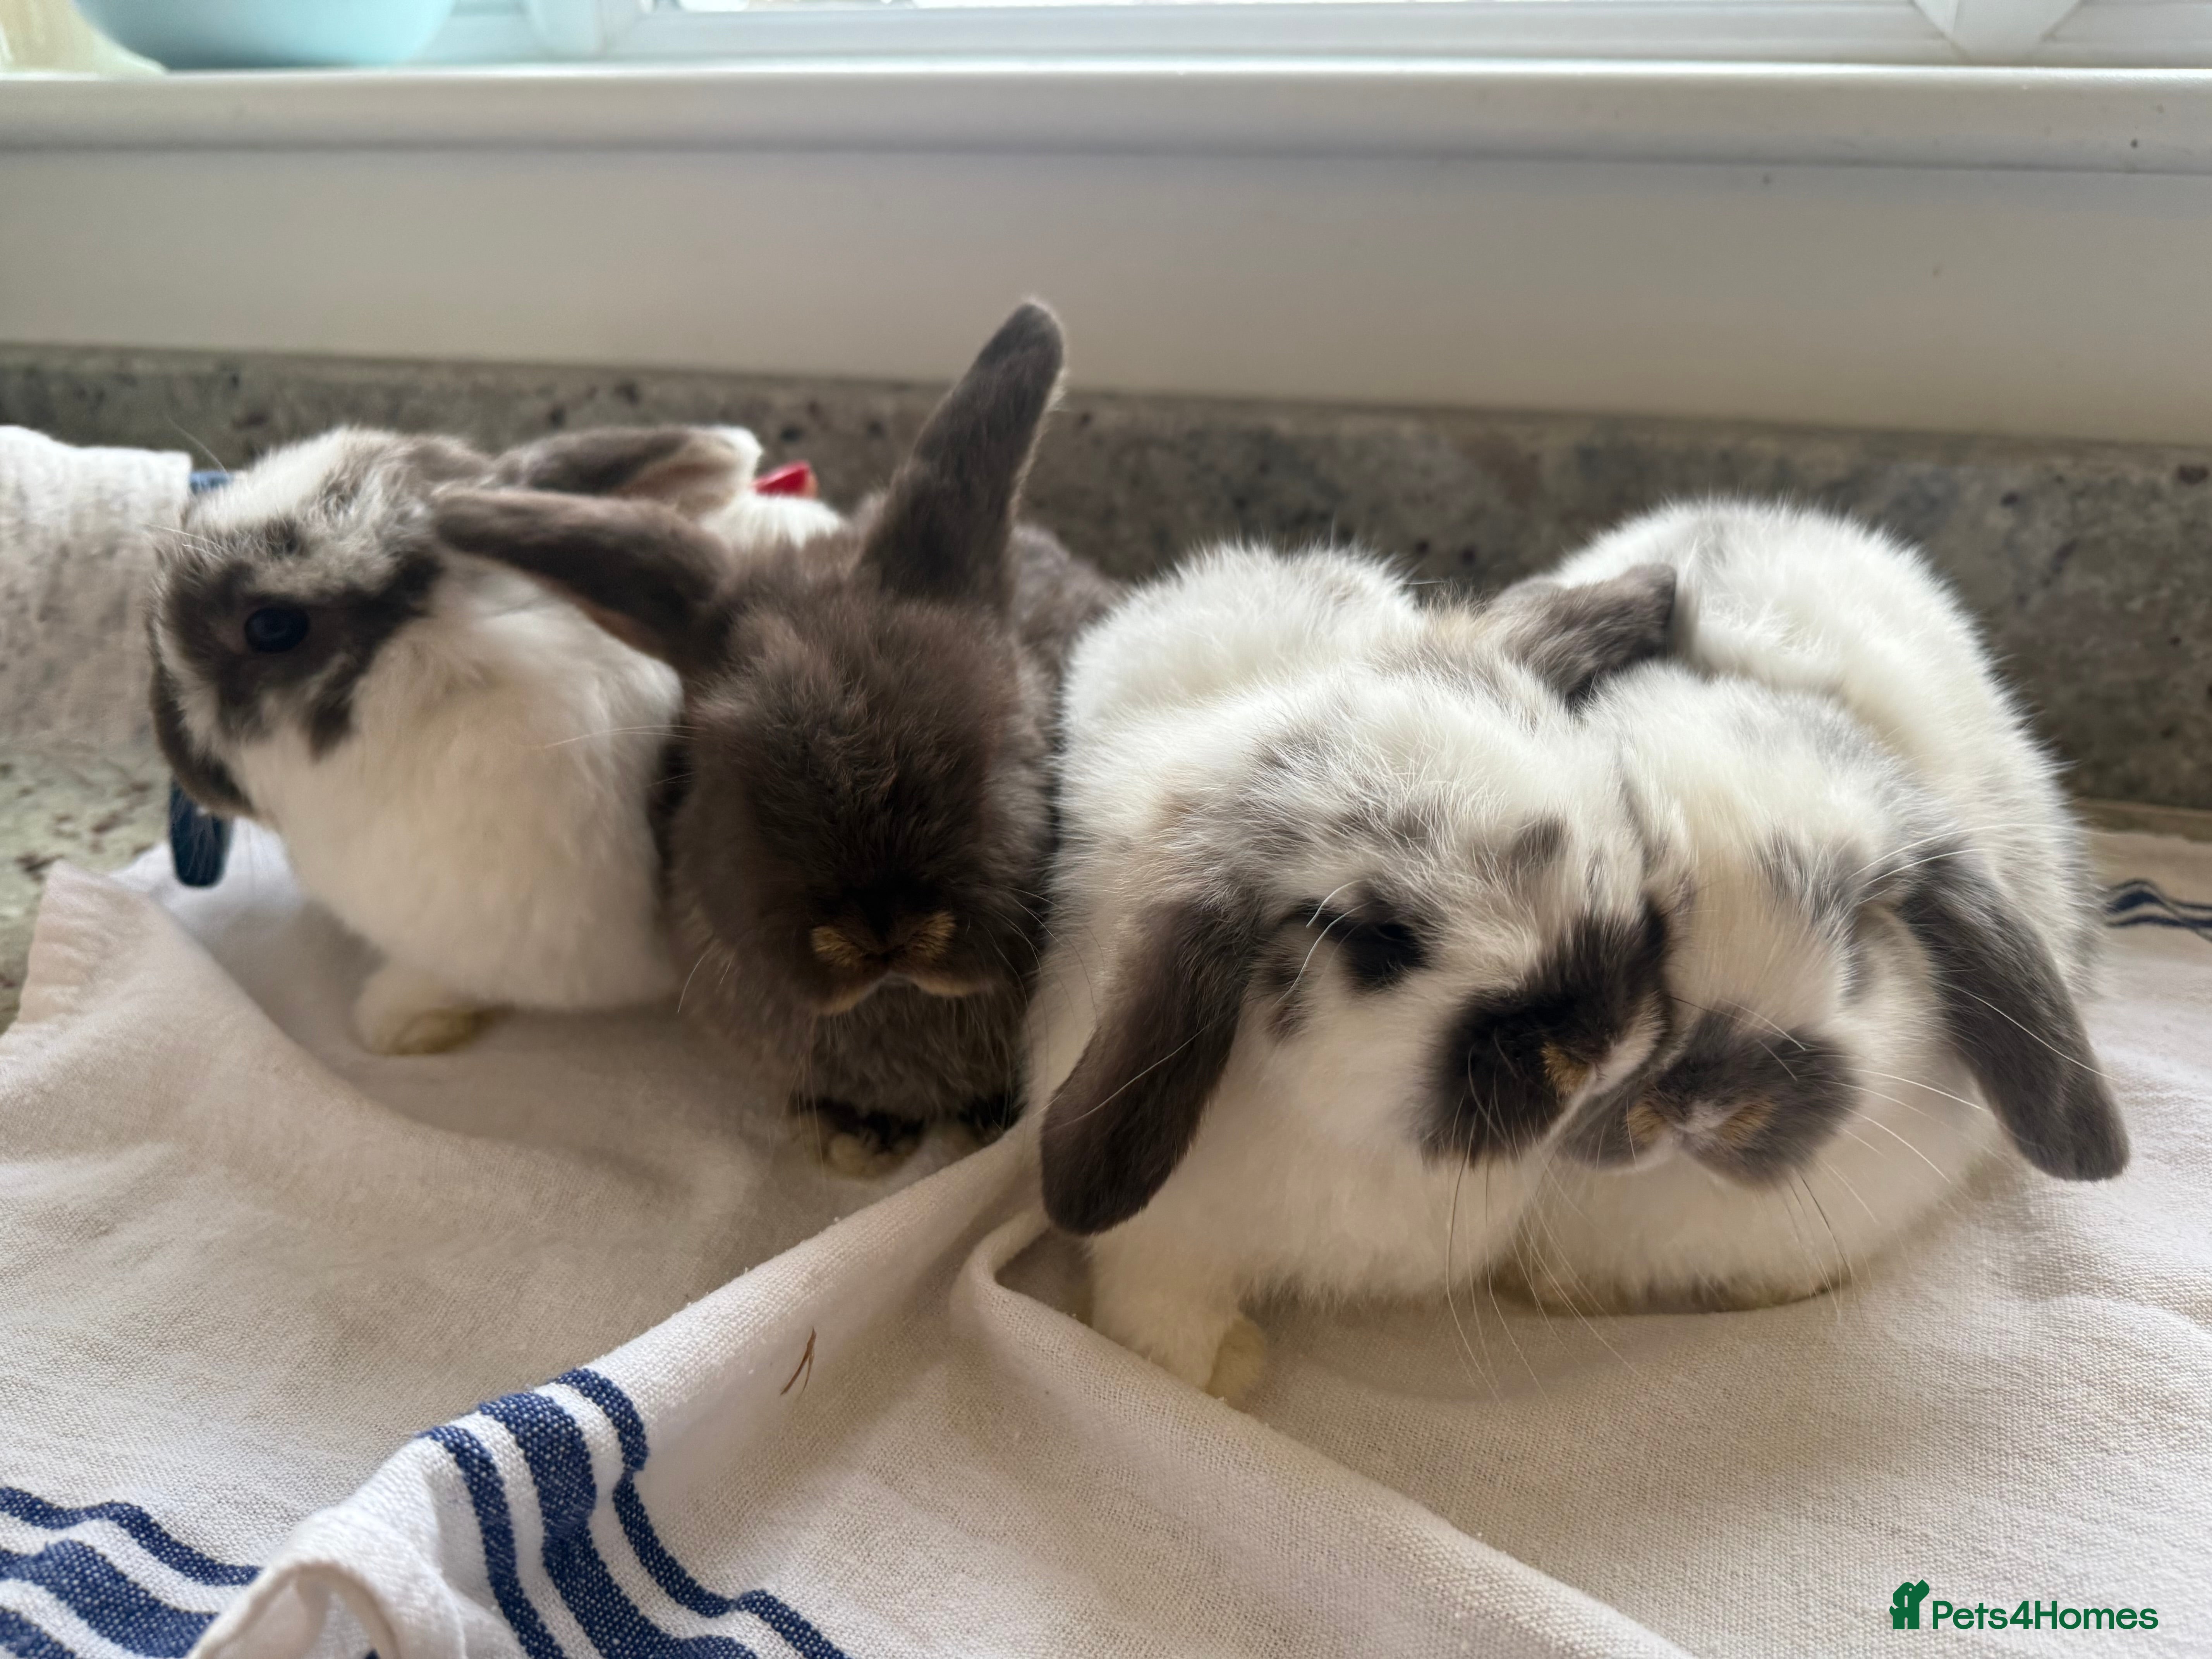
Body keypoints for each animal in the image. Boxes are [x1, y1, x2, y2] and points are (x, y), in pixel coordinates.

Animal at [1027, 543, 1683, 1399]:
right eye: (1378, 937)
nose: (1591, 1047)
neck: (1361, 1135)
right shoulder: (1162, 1244)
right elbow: (1160, 1315)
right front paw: (1215, 1373)